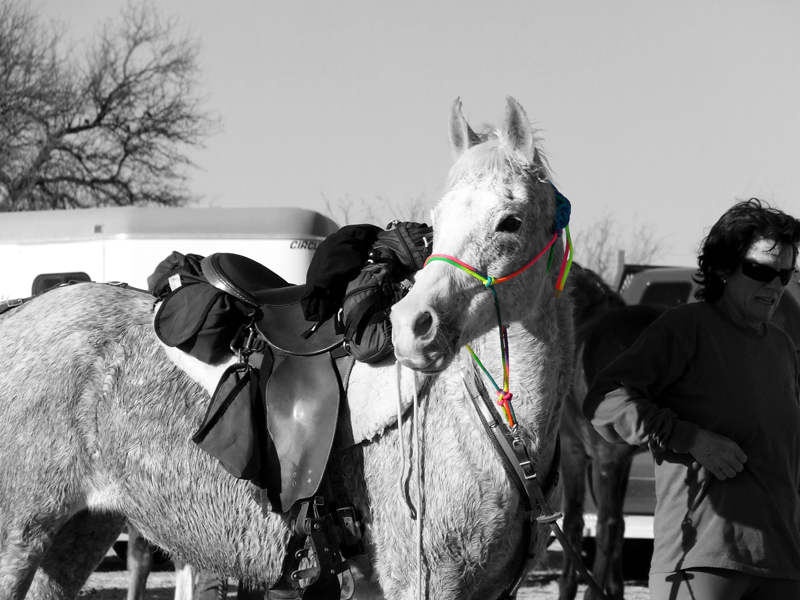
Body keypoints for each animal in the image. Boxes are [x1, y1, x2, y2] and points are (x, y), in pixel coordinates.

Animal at [0, 96, 576, 596]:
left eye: (510, 221)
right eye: (438, 218)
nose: (413, 326)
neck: (491, 427)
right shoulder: (424, 581)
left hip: (79, 530)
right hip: (19, 535)